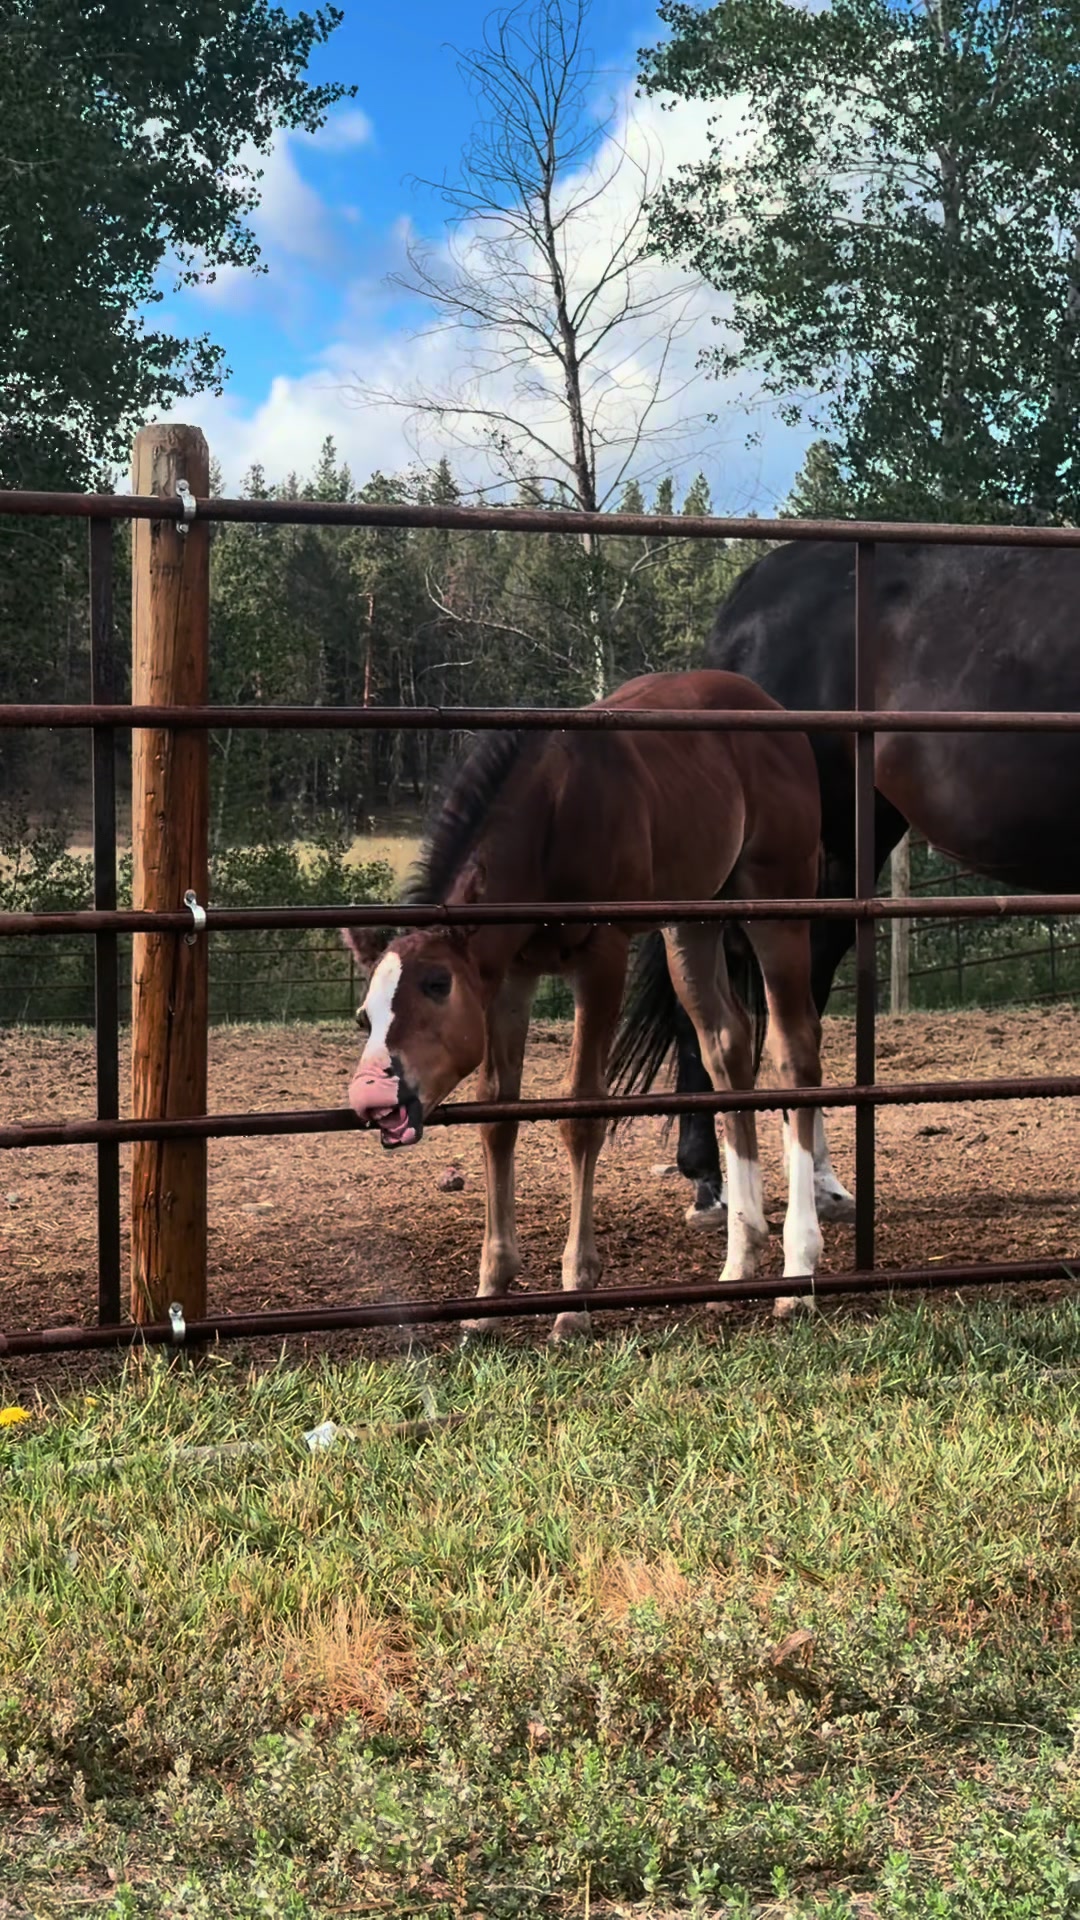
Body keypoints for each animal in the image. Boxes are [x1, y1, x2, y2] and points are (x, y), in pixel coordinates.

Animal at [344, 668, 825, 1338]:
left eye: (437, 986)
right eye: (365, 1015)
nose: (374, 1096)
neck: (549, 812)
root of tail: (773, 712)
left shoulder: (601, 958)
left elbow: (581, 1113)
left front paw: (574, 1299)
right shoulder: (510, 978)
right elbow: (497, 1114)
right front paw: (488, 1297)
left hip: (778, 905)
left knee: (793, 1050)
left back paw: (798, 1275)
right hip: (692, 922)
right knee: (727, 1047)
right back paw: (737, 1265)